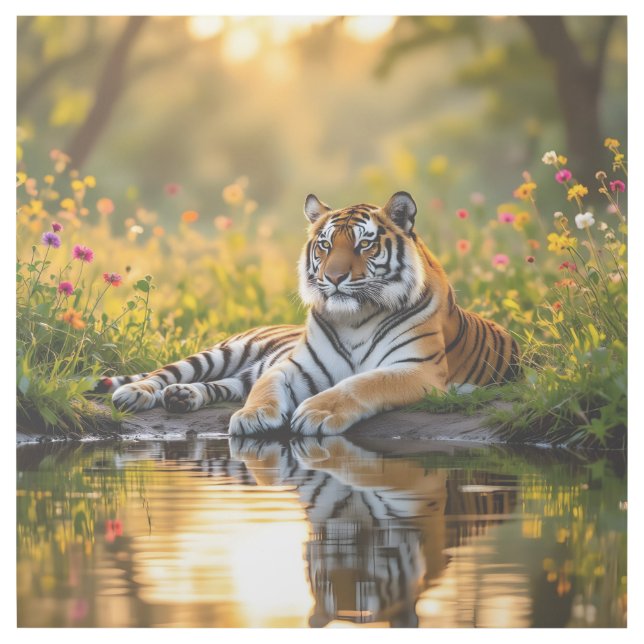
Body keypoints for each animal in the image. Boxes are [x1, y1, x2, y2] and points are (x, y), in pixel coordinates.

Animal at [97, 191, 520, 435]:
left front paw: (316, 413)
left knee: (228, 384)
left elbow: (362, 383)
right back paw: (139, 393)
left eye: (364, 245)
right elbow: (266, 387)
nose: (333, 277)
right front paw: (253, 416)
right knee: (167, 372)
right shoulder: (293, 367)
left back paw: (182, 397)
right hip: (223, 352)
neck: (355, 319)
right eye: (325, 244)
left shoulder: (418, 369)